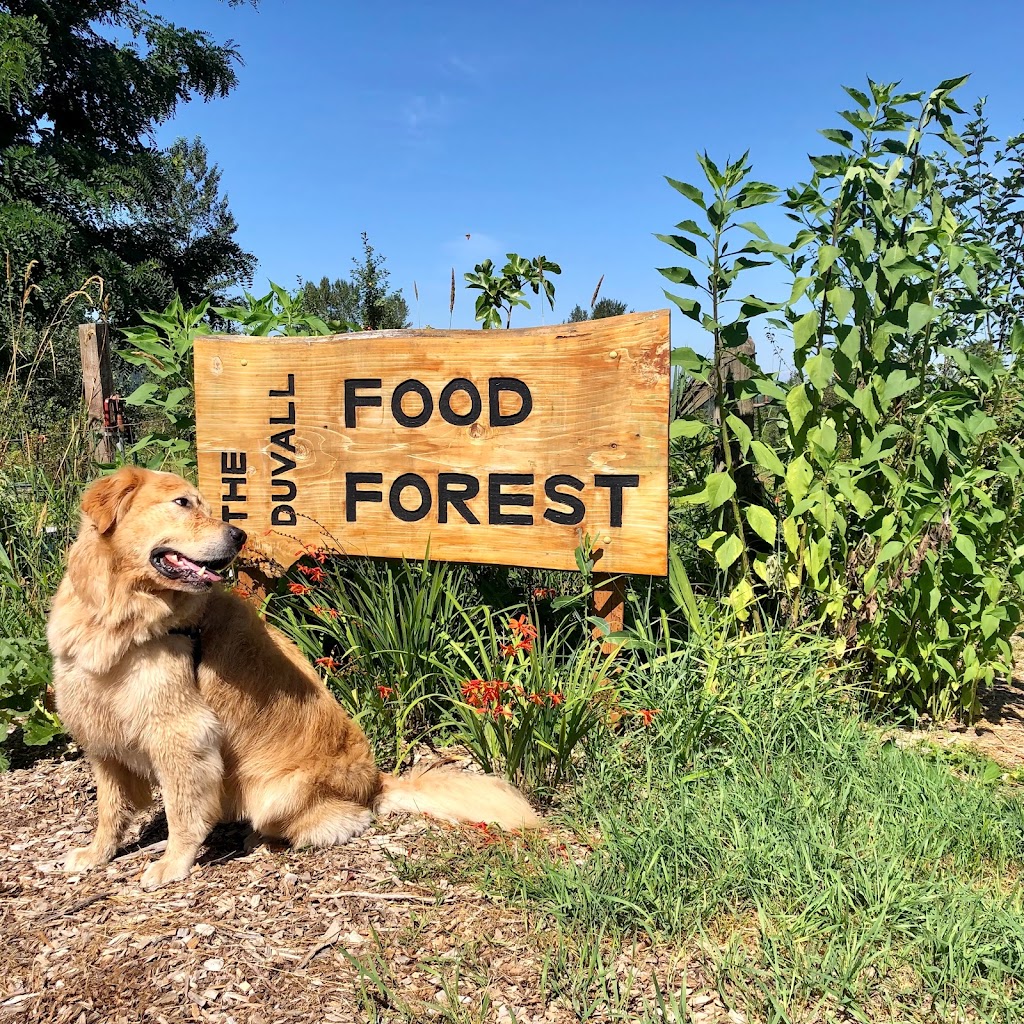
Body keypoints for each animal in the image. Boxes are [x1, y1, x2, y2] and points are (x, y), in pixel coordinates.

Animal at [48, 466, 540, 888]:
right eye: (183, 503)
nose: (239, 534)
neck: (121, 615)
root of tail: (376, 782)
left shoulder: (181, 734)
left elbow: (182, 812)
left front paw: (171, 863)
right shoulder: (98, 730)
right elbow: (110, 808)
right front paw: (96, 853)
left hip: (276, 793)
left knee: (334, 822)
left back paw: (262, 839)